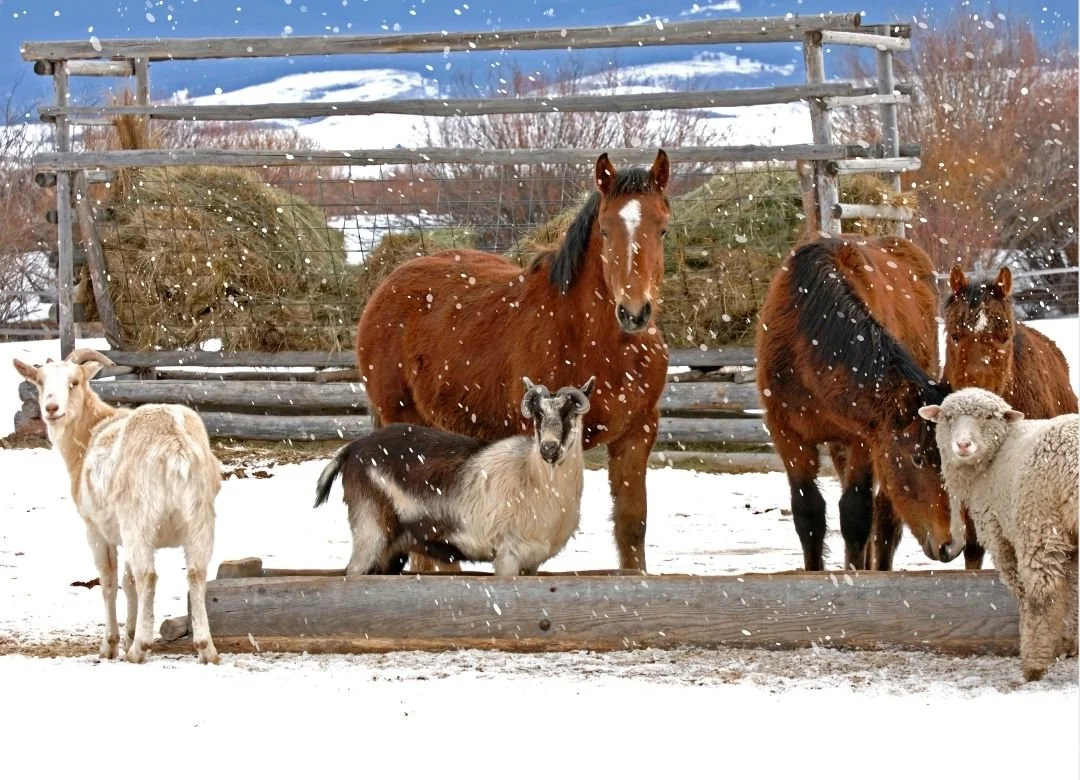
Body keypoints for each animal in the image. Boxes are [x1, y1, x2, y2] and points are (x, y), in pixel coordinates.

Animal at [13, 349, 222, 664]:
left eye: (74, 382)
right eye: (39, 382)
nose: (51, 408)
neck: (89, 435)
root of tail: (176, 446)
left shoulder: (96, 529)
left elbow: (110, 581)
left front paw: (111, 645)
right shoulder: (122, 532)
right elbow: (128, 581)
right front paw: (128, 635)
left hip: (139, 519)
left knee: (148, 575)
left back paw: (139, 650)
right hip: (199, 517)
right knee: (196, 573)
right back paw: (205, 648)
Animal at [314, 376, 595, 577]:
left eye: (569, 413)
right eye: (538, 414)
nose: (548, 449)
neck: (533, 477)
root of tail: (352, 449)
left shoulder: (532, 562)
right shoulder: (507, 555)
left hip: (392, 549)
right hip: (370, 527)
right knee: (354, 572)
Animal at [355, 150, 671, 573]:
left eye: (662, 229)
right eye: (605, 231)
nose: (634, 312)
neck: (596, 344)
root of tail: (386, 288)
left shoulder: (637, 435)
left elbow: (631, 527)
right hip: (404, 424)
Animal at [756, 234, 963, 571]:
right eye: (918, 458)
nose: (951, 545)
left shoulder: (866, 438)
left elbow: (856, 514)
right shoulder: (786, 433)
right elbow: (808, 513)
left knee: (885, 518)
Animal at [919, 387, 1078, 681]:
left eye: (987, 417)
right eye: (947, 417)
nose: (963, 445)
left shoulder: (997, 530)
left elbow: (1021, 589)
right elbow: (1074, 589)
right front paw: (1069, 643)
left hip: (1038, 523)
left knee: (1043, 593)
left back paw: (1033, 664)